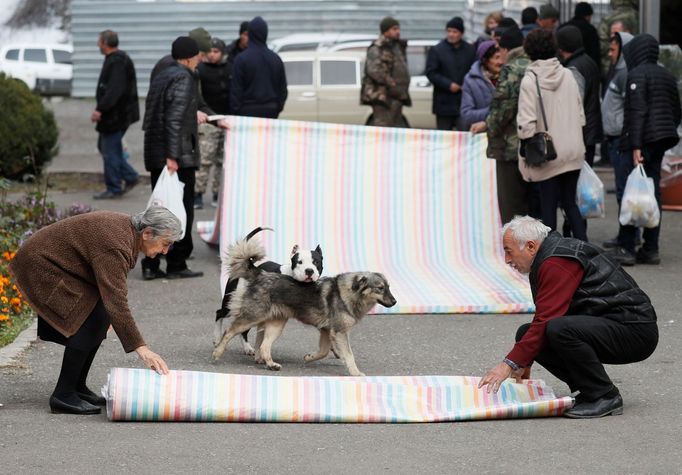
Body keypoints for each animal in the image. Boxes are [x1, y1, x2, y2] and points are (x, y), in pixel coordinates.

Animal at [210, 238, 396, 376]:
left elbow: (324, 351)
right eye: (380, 288)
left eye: (388, 287)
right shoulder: (339, 333)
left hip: (276, 325)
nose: (394, 302)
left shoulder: (326, 331)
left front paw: (309, 357)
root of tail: (261, 274)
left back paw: (271, 364)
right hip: (252, 317)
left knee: (264, 346)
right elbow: (349, 356)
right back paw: (217, 351)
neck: (348, 292)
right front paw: (356, 373)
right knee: (229, 331)